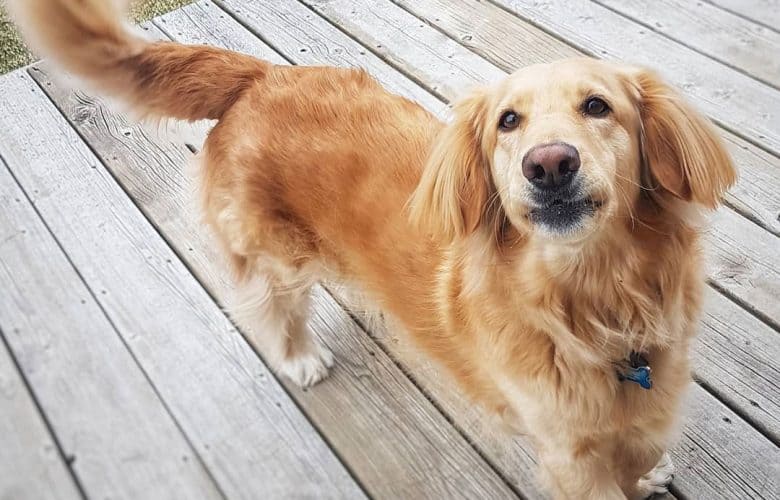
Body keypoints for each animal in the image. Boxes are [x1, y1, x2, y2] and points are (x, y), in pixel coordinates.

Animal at [12, 1, 740, 498]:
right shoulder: (568, 452)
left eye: (598, 107)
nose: (549, 165)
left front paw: (650, 471)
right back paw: (300, 359)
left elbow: (640, 452)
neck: (596, 301)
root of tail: (260, 75)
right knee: (269, 306)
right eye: (508, 122)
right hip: (276, 255)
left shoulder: (650, 401)